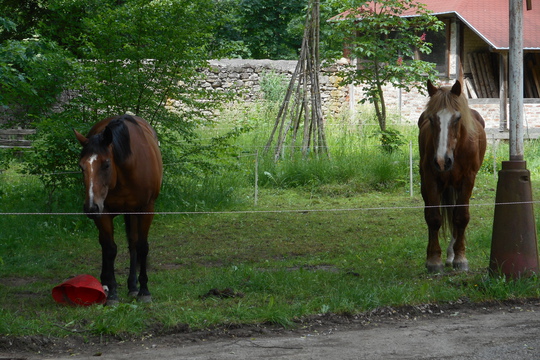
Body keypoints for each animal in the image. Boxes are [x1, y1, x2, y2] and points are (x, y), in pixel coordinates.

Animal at [74, 115, 162, 304]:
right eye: (81, 167)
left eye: (106, 164)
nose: (90, 207)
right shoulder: (103, 212)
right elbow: (110, 249)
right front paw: (112, 292)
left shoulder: (146, 209)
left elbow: (142, 246)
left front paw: (144, 290)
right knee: (105, 244)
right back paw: (105, 284)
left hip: (132, 212)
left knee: (133, 243)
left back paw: (133, 286)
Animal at [416, 81, 488, 272]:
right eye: (431, 119)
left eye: (457, 118)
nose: (442, 161)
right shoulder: (431, 179)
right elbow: (433, 218)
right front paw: (433, 260)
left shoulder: (468, 180)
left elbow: (461, 217)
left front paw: (460, 258)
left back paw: (452, 254)